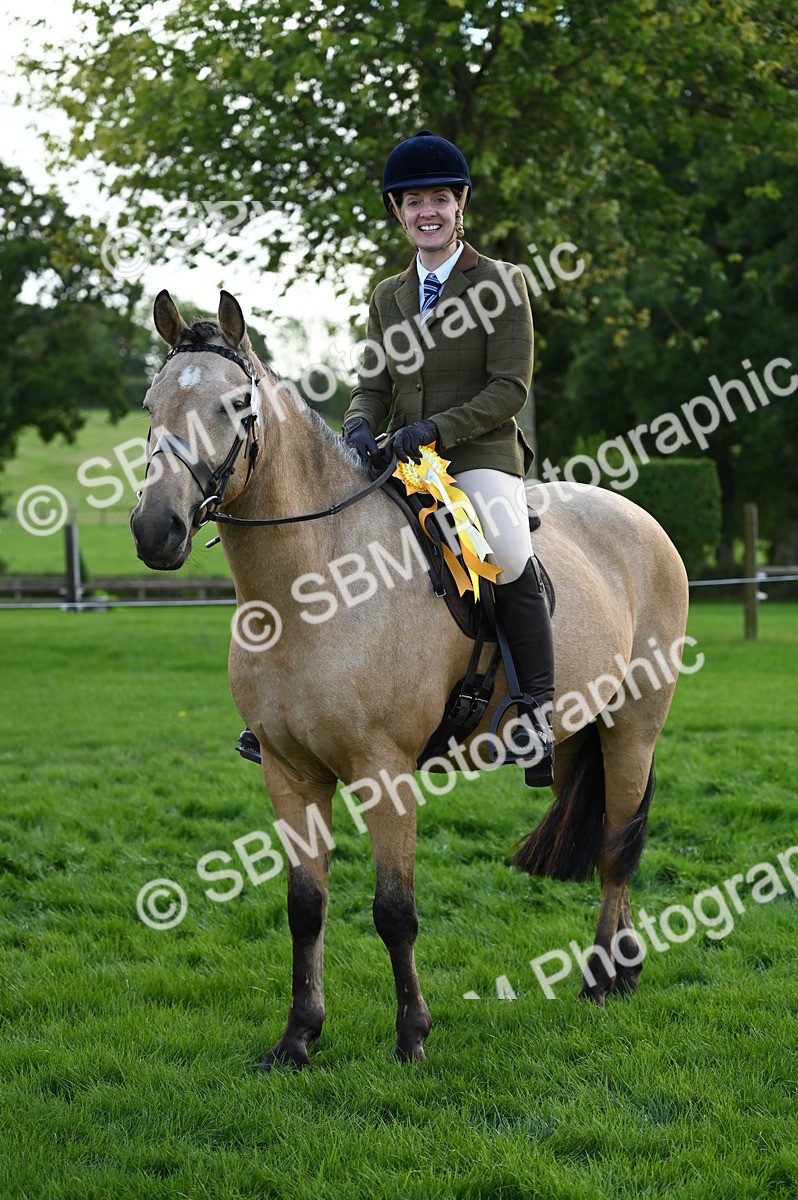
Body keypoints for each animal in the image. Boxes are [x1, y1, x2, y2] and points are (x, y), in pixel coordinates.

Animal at [131, 289, 689, 1069]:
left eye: (236, 406)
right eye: (150, 403)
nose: (156, 530)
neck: (312, 586)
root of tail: (640, 518)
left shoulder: (383, 771)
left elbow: (394, 911)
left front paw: (411, 1036)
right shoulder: (288, 771)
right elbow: (305, 907)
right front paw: (297, 1038)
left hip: (635, 727)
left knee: (616, 848)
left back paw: (602, 981)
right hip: (586, 726)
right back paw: (624, 970)